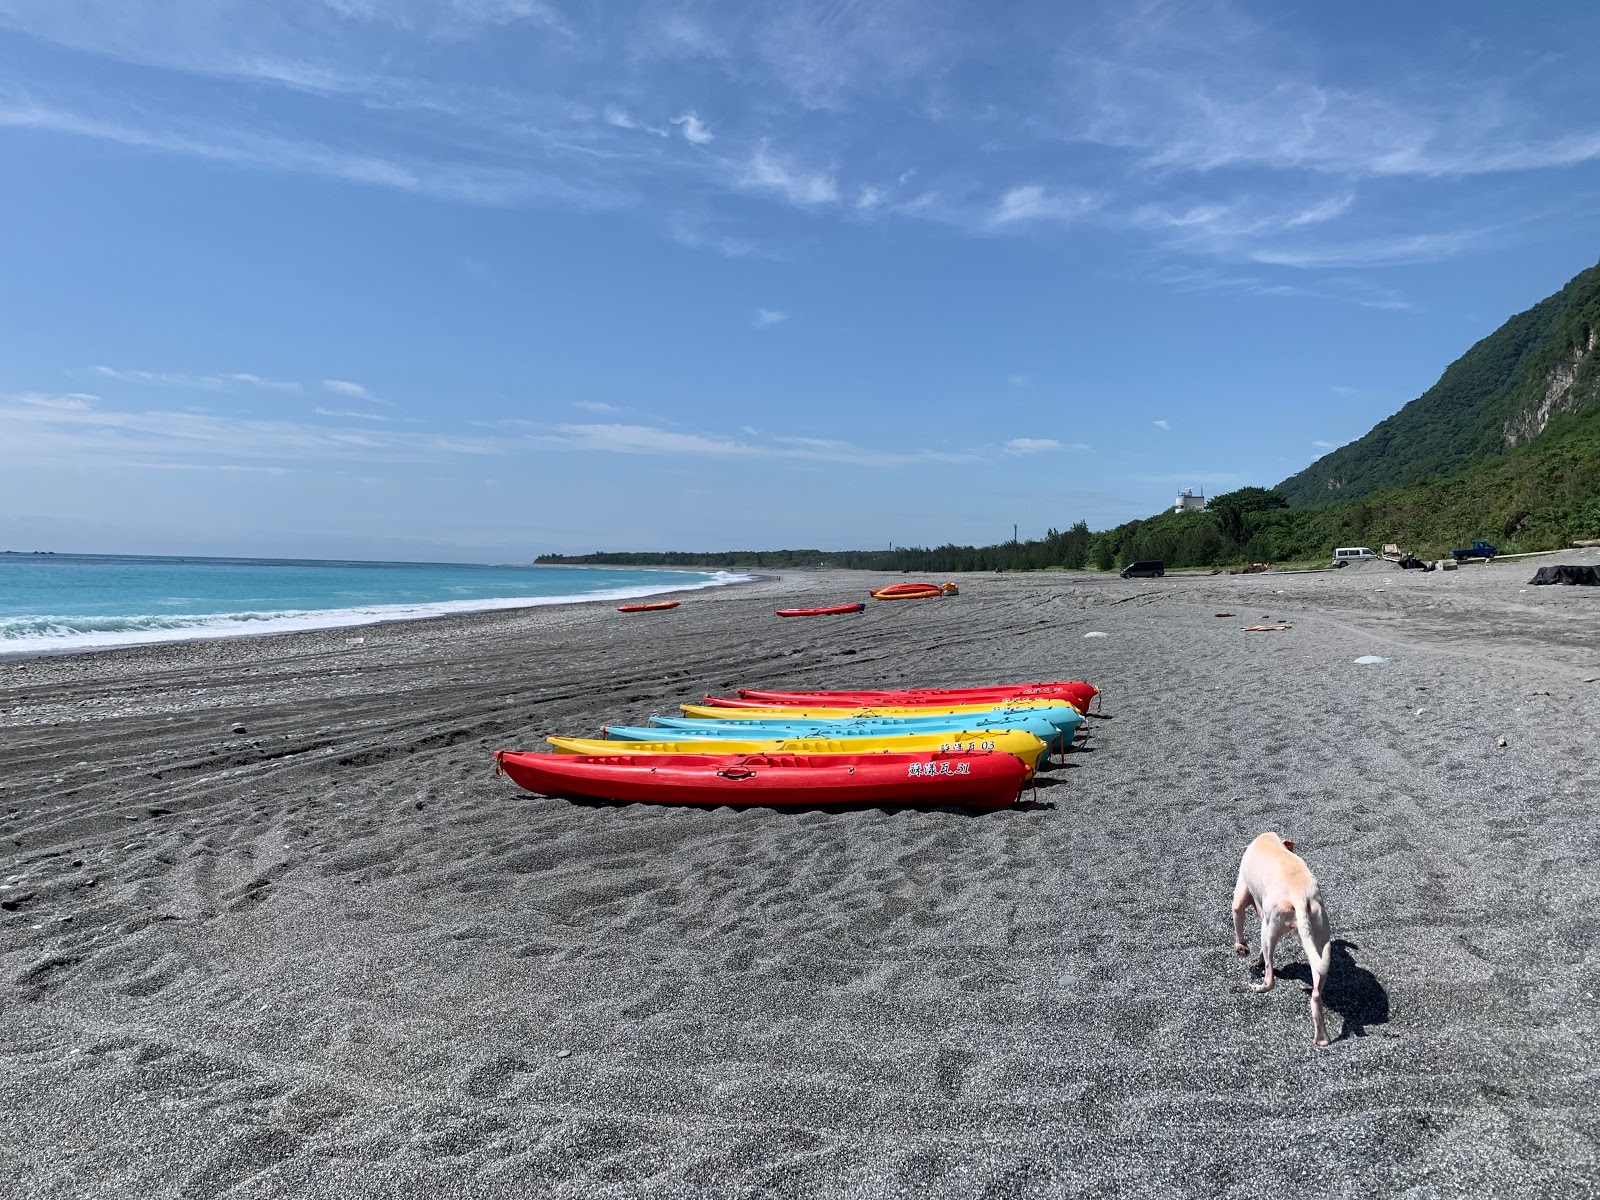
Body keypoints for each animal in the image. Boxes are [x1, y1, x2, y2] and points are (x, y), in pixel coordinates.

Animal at [1228, 838, 1331, 1043]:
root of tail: (1301, 896)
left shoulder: (1242, 892)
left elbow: (1237, 911)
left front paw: (1241, 947)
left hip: (1270, 927)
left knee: (1270, 978)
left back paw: (1258, 987)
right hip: (1317, 935)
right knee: (1317, 990)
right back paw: (1322, 1038)